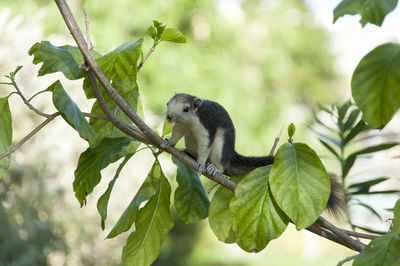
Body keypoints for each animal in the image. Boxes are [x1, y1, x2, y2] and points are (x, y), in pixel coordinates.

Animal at [161, 92, 346, 215]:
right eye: (167, 103)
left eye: (186, 108)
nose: (169, 116)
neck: (189, 122)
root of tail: (231, 155)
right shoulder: (180, 127)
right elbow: (175, 136)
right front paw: (167, 143)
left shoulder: (206, 127)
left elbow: (205, 146)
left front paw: (200, 163)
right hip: (191, 142)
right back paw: (186, 153)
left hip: (222, 146)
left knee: (219, 161)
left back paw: (213, 168)